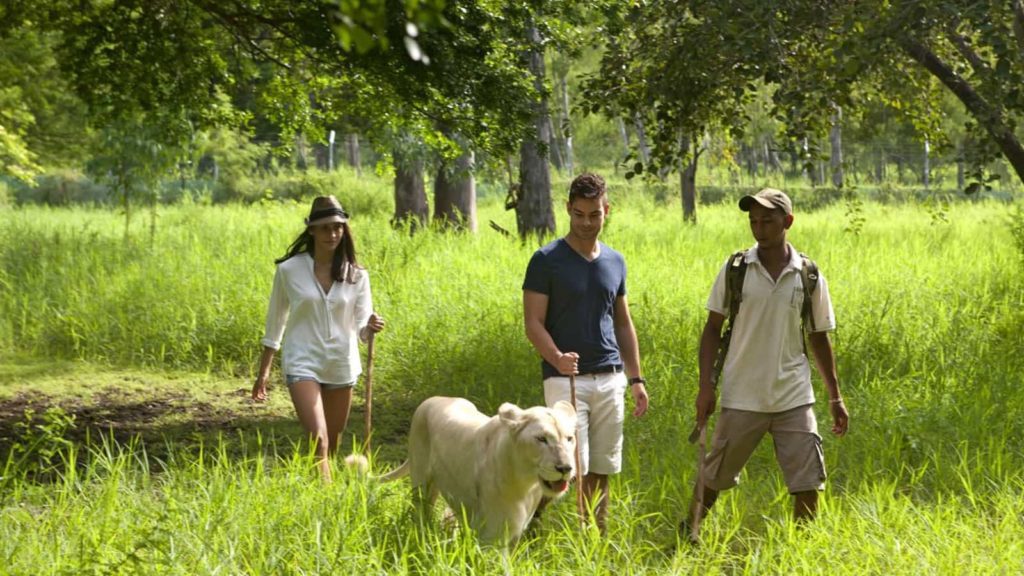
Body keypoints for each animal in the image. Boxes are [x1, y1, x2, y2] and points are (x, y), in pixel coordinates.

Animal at [382, 393, 581, 541]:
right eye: (541, 439)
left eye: (569, 439)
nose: (565, 468)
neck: (526, 484)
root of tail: (434, 398)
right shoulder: (491, 534)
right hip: (421, 486)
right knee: (421, 514)